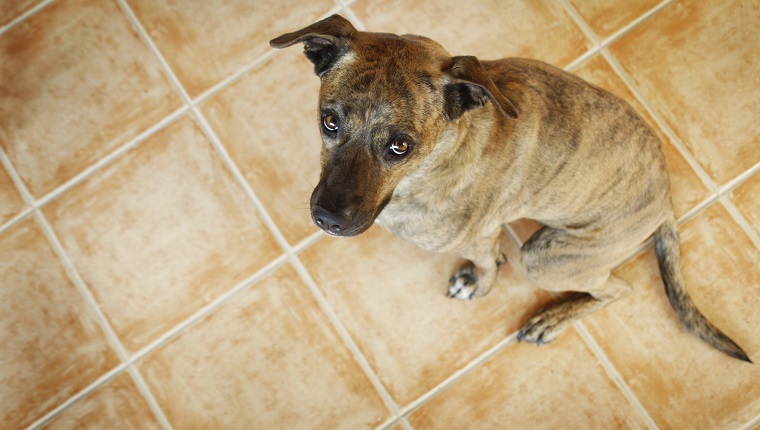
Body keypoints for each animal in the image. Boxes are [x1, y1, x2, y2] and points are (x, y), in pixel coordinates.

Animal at [270, 15, 752, 362]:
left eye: (400, 146)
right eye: (329, 120)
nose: (327, 219)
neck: (441, 155)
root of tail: (666, 199)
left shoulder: (478, 236)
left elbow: (484, 266)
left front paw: (478, 282)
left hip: (544, 256)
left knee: (617, 291)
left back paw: (552, 318)